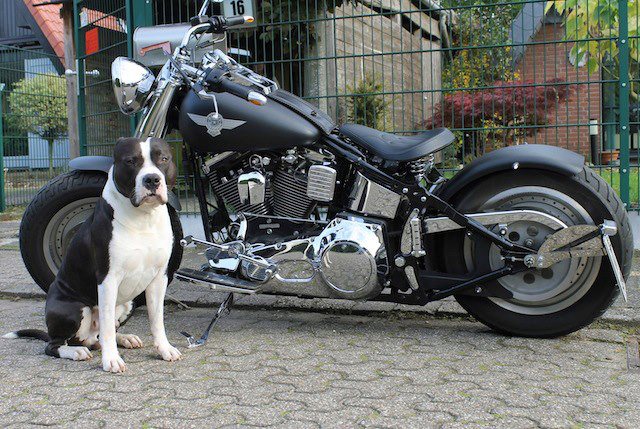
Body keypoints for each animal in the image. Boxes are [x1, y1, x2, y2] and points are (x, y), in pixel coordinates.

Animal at [4, 137, 181, 373]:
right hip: (74, 309)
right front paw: (111, 360)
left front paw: (164, 349)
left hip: (129, 303)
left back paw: (123, 338)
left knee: (99, 335)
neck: (143, 218)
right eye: (130, 161)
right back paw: (75, 351)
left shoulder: (159, 278)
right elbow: (107, 325)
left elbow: (157, 319)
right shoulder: (108, 279)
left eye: (163, 159)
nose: (152, 179)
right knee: (56, 344)